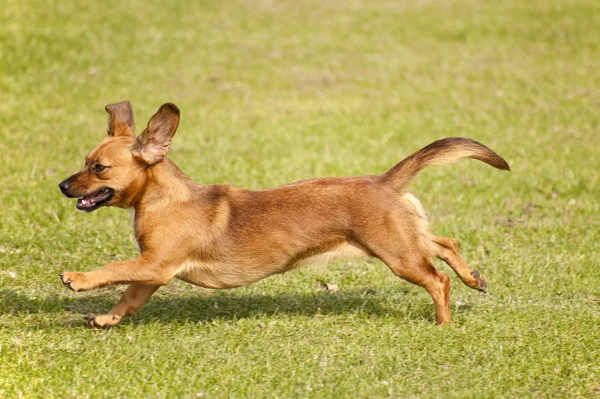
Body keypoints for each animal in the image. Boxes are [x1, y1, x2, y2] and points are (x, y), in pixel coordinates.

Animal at [59, 101, 510, 328]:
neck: (165, 198)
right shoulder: (150, 274)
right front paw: (106, 318)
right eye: (85, 162)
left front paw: (78, 279)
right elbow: (128, 298)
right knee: (444, 242)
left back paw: (443, 323)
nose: (62, 186)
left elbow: (114, 269)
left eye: (99, 168)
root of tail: (385, 181)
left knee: (437, 280)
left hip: (398, 255)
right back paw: (473, 278)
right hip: (403, 239)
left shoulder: (155, 266)